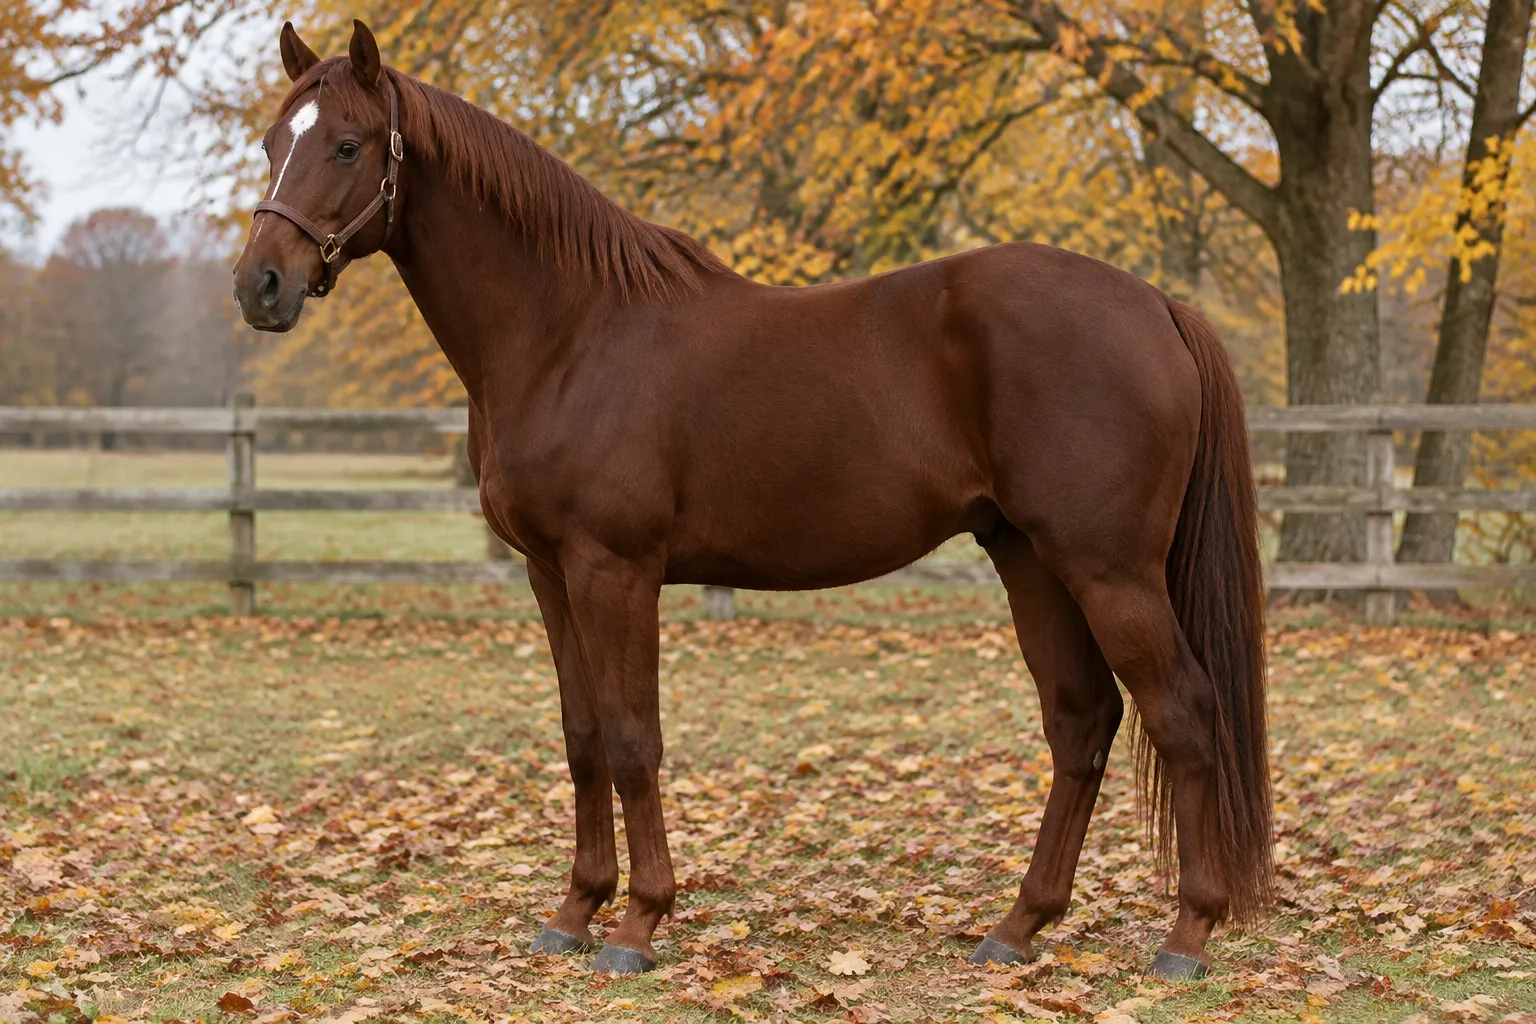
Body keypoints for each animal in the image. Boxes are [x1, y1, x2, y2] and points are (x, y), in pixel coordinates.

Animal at [233, 19, 1273, 980]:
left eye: (347, 145)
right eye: (273, 139)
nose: (260, 286)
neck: (568, 333)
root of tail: (1156, 304)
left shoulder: (614, 571)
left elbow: (631, 740)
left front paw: (637, 926)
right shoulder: (548, 574)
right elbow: (580, 737)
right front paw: (573, 915)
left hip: (1108, 568)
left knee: (1184, 714)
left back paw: (1186, 937)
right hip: (1030, 557)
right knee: (1081, 722)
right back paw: (1018, 928)